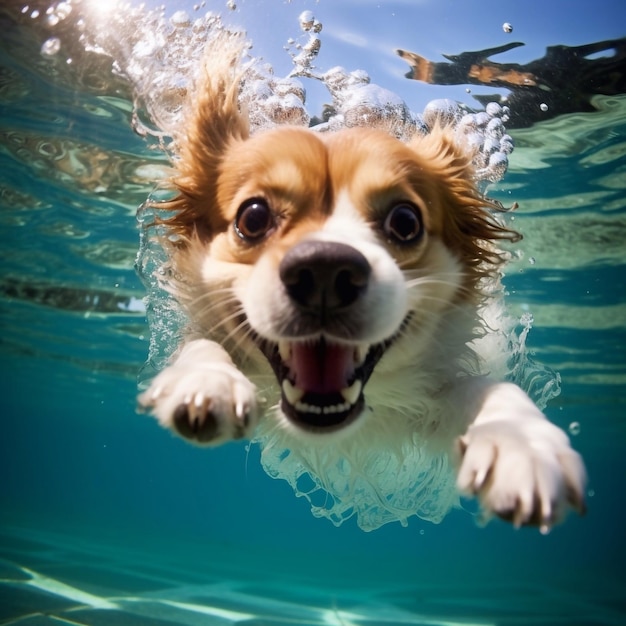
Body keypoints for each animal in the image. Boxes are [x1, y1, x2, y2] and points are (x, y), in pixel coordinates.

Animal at [140, 34, 584, 528]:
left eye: (405, 222)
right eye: (253, 218)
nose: (324, 271)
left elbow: (487, 389)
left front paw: (519, 439)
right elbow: (201, 344)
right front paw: (205, 381)